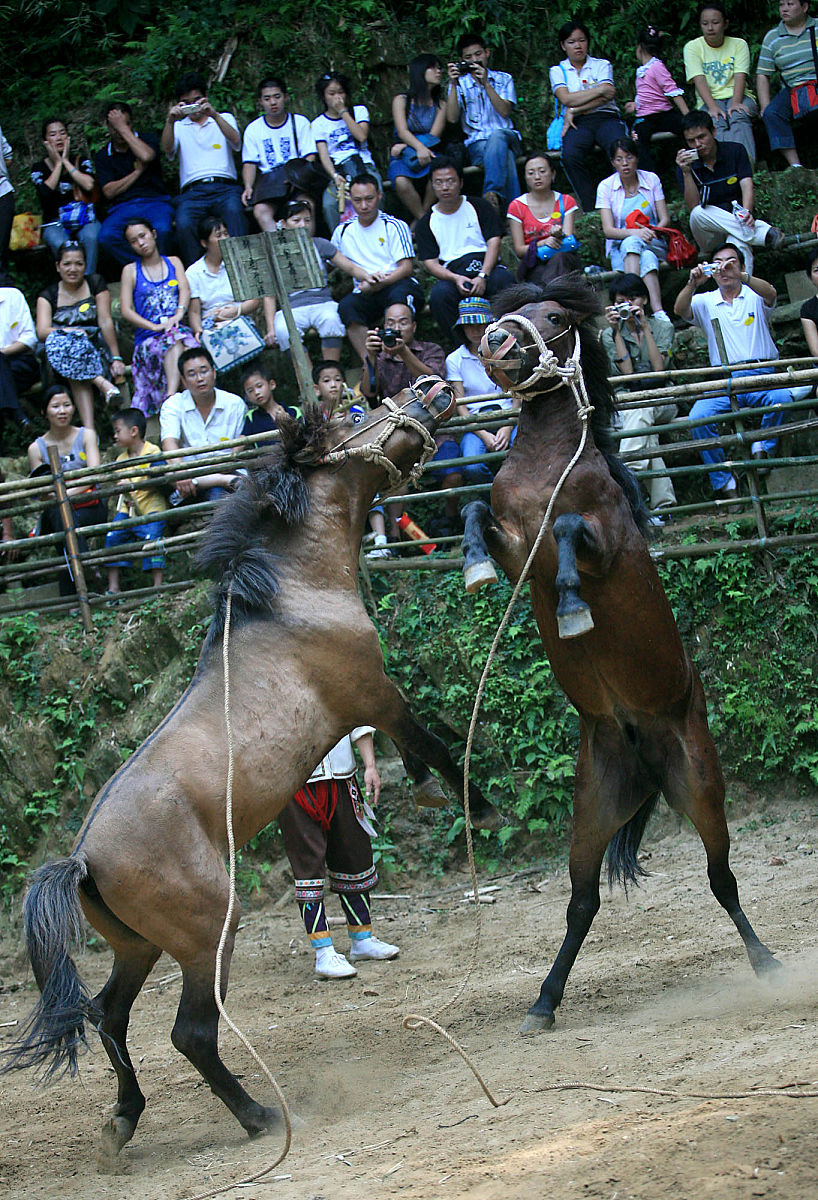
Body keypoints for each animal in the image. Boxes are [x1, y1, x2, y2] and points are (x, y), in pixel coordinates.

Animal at [4, 379, 504, 1163]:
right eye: (355, 413)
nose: (433, 389)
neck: (292, 596)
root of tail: (82, 859)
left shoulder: (370, 703)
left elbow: (429, 742)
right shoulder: (373, 693)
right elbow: (437, 740)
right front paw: (472, 801)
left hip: (139, 946)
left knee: (109, 1017)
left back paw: (124, 1120)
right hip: (210, 931)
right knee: (189, 1033)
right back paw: (257, 1116)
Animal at [460, 277, 780, 1034]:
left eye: (552, 316)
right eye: (507, 312)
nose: (496, 341)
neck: (546, 466)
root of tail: (642, 754)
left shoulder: (593, 541)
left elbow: (572, 531)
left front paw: (574, 607)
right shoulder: (517, 550)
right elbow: (472, 516)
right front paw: (470, 566)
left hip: (701, 787)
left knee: (721, 878)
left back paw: (767, 964)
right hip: (593, 811)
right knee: (582, 902)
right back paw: (542, 1003)